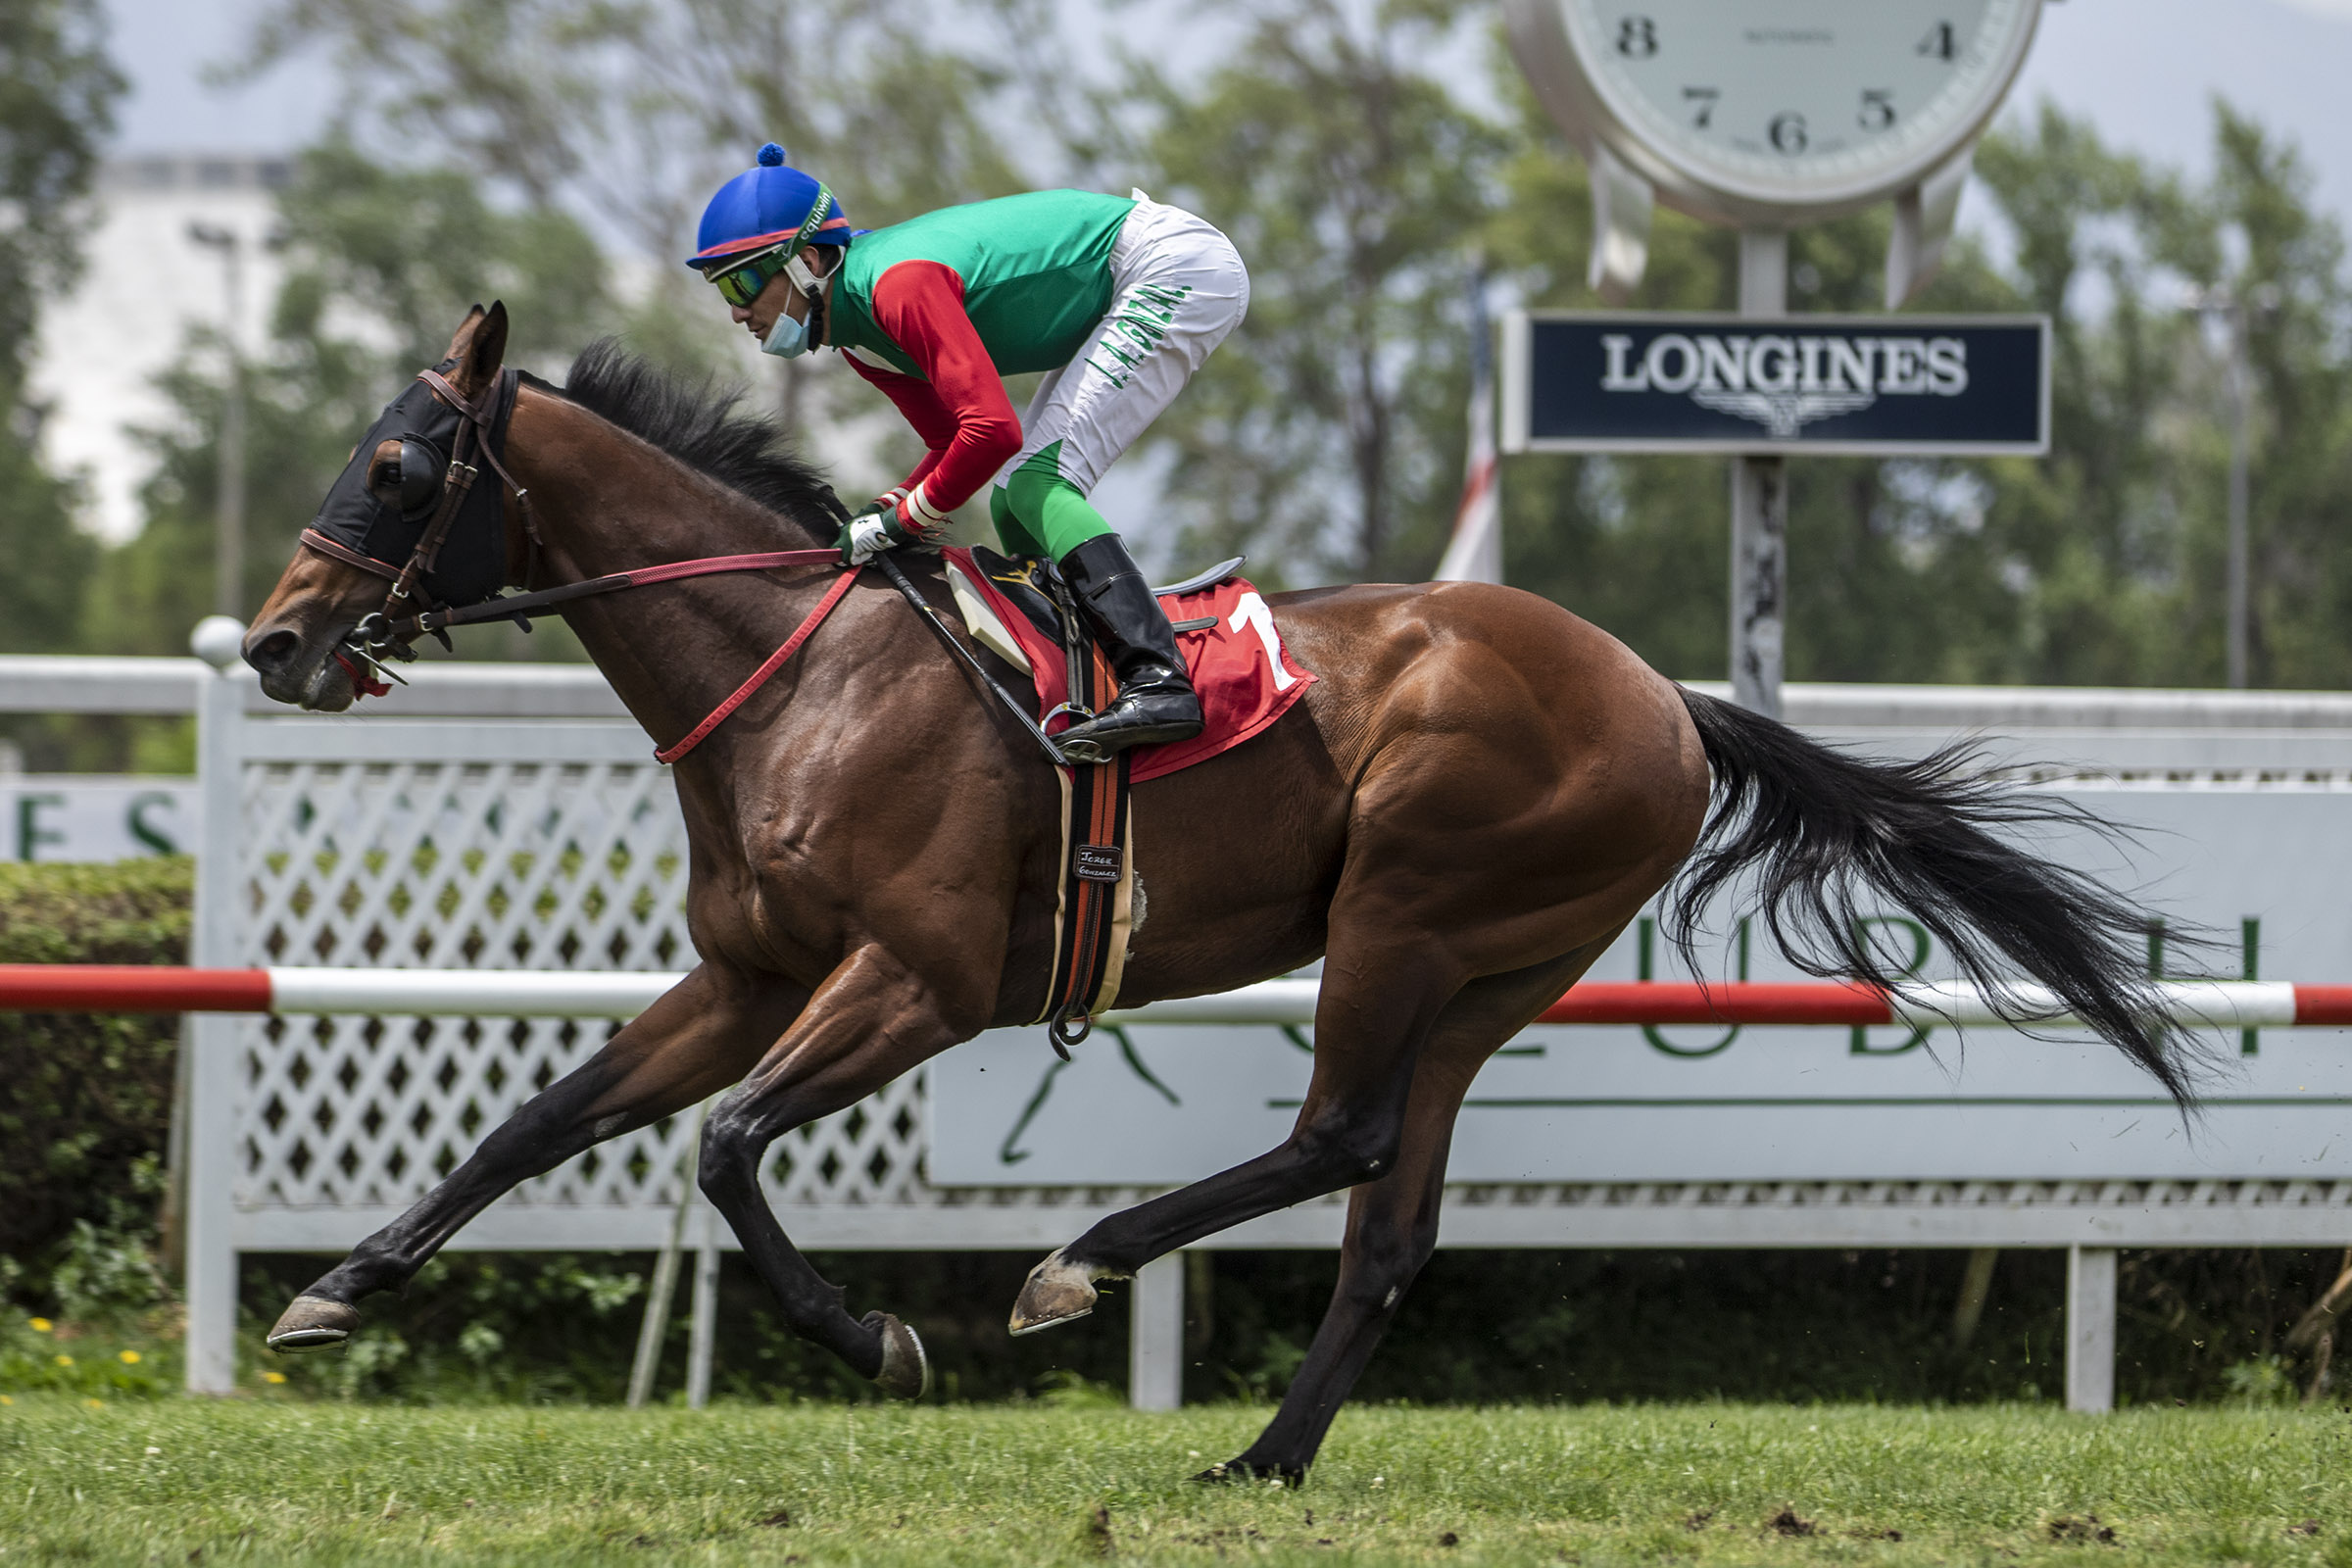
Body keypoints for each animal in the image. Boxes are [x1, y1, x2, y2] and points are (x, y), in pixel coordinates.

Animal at [242, 304, 2197, 1482]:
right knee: (1389, 1216)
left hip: (1407, 905)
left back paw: (1081, 1266)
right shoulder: (747, 978)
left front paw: (877, 1337)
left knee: (1338, 1137)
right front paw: (333, 1291)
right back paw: (1262, 1452)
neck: (800, 677)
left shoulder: (918, 980)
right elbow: (541, 1119)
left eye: (398, 467)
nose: (275, 643)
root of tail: (1667, 697)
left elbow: (724, 1148)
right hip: (1492, 975)